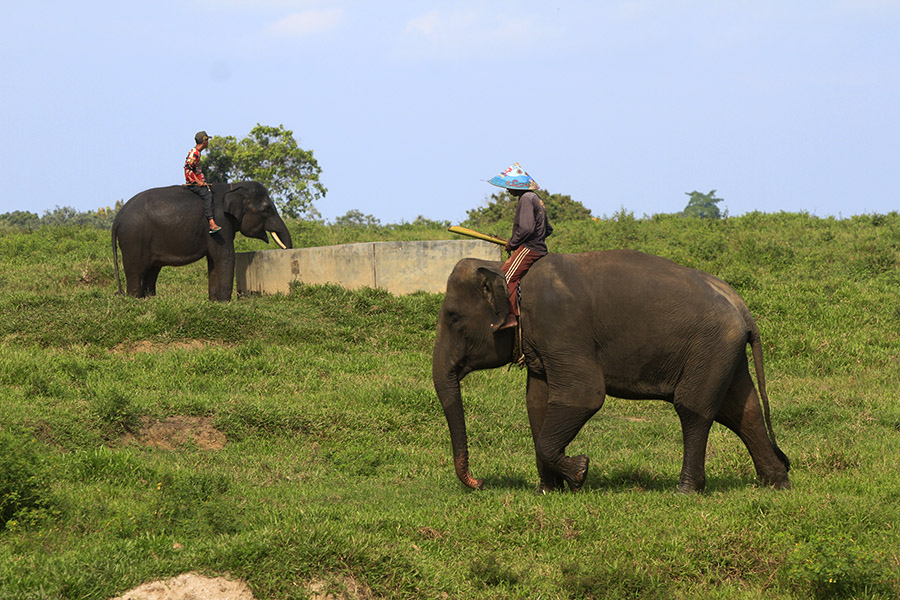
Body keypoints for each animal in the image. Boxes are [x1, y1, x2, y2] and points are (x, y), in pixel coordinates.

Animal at [112, 181, 292, 301]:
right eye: (266, 209)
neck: (232, 187)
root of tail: (118, 216)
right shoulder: (219, 224)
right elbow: (225, 256)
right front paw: (225, 303)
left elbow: (213, 260)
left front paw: (215, 302)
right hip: (134, 239)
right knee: (136, 271)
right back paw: (135, 300)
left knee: (152, 270)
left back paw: (150, 300)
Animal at [432, 249, 790, 494]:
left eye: (452, 317)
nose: (478, 482)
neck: (509, 272)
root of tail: (741, 305)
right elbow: (536, 402)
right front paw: (548, 490)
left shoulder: (561, 328)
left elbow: (584, 395)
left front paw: (580, 471)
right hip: (725, 351)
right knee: (743, 411)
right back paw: (776, 482)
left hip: (710, 346)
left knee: (694, 409)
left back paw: (686, 490)